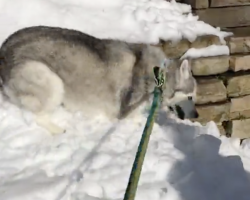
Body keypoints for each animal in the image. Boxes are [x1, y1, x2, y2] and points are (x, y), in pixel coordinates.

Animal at [0, 25, 199, 134]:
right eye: (191, 97)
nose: (197, 115)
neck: (160, 74)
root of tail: (4, 49)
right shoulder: (124, 112)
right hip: (51, 81)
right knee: (37, 116)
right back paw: (58, 129)